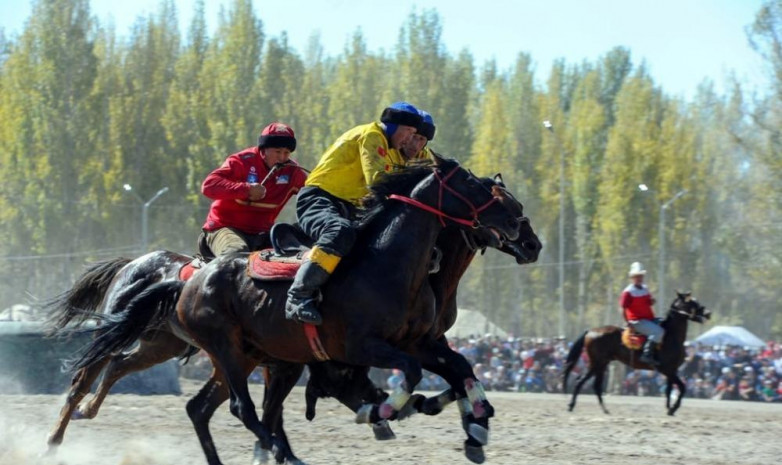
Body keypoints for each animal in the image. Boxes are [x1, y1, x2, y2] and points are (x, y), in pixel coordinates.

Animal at [564, 292, 712, 416]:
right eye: (691, 302)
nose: (708, 313)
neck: (670, 336)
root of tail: (590, 331)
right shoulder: (667, 370)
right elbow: (682, 387)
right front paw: (673, 408)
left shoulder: (672, 371)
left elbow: (669, 390)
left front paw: (669, 409)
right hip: (596, 363)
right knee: (580, 381)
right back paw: (571, 406)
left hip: (602, 364)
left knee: (596, 386)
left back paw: (605, 409)